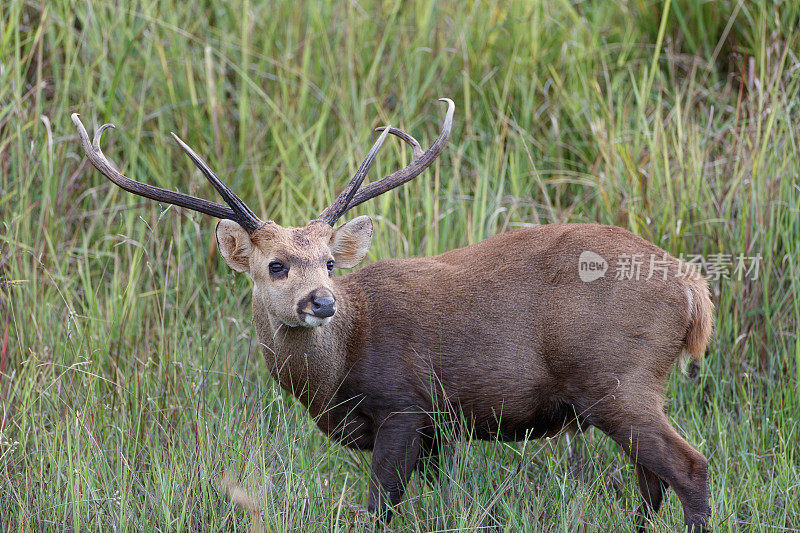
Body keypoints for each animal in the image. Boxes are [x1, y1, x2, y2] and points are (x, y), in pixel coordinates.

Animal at [73, 98, 712, 528]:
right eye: (276, 265)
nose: (321, 302)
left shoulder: (405, 404)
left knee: (689, 468)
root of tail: (693, 290)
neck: (337, 372)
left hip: (615, 376)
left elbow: (379, 509)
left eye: (329, 262)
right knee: (651, 482)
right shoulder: (435, 431)